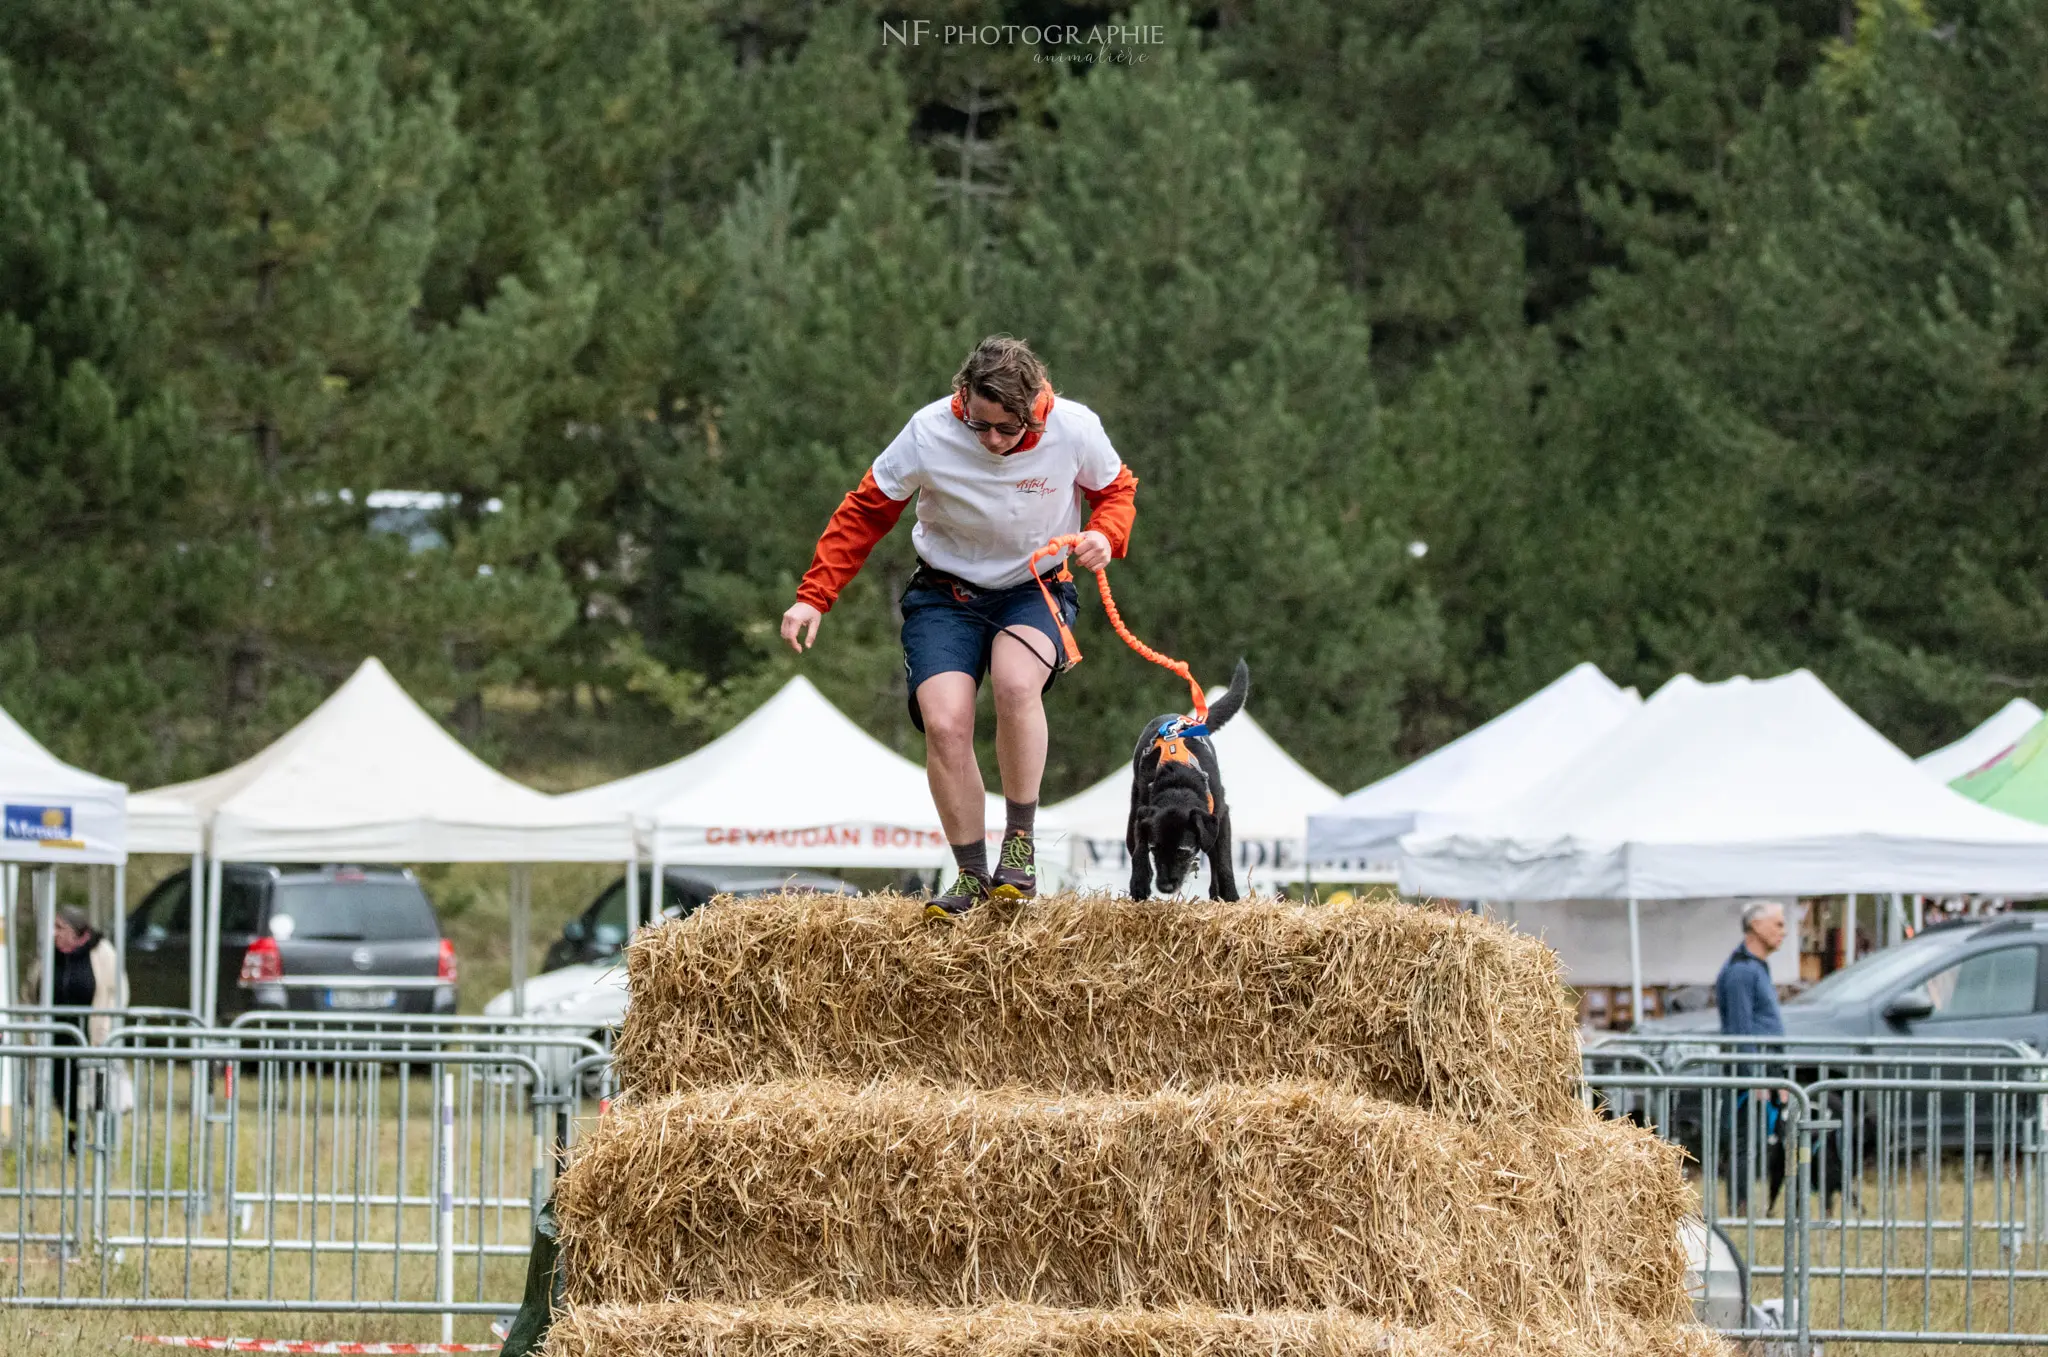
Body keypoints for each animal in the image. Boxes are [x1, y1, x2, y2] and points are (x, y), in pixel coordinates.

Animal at [1122, 659, 1245, 900]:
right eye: (1155, 849)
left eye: (1183, 852)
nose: (1165, 888)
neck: (1179, 782)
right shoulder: (1142, 812)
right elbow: (1140, 847)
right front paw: (1139, 882)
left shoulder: (1220, 816)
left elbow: (1224, 861)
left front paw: (1230, 896)